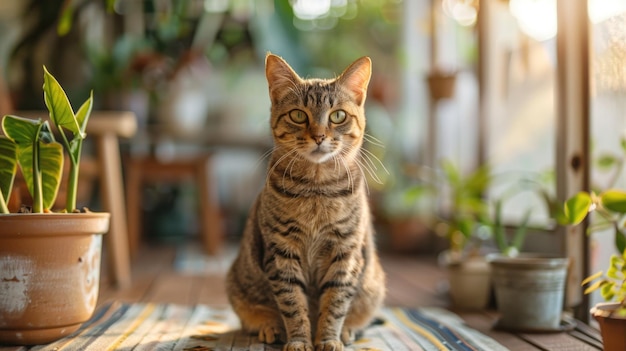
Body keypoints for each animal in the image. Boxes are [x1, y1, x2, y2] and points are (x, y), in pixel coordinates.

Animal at [224, 53, 380, 351]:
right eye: (298, 115)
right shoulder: (282, 252)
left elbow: (335, 303)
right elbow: (293, 304)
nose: (319, 136)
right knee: (255, 316)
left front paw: (328, 338)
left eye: (338, 116)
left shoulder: (344, 253)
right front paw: (299, 340)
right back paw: (270, 327)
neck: (316, 190)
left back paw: (346, 331)